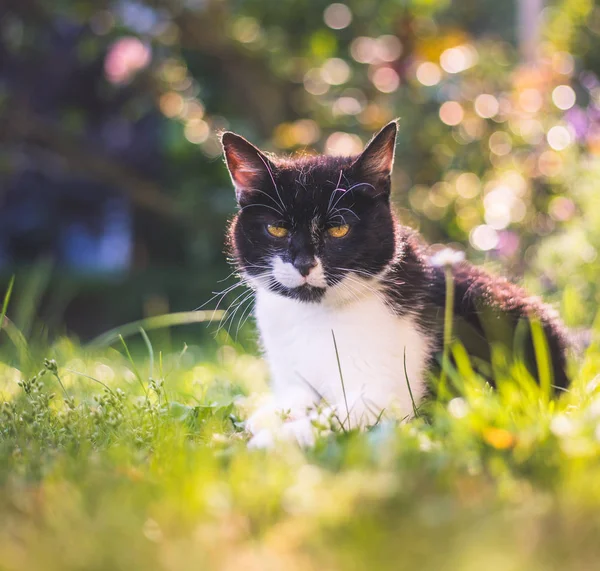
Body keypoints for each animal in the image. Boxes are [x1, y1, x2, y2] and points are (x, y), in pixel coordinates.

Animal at [219, 122, 568, 446]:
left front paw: (272, 439)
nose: (304, 263)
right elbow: (296, 399)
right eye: (277, 229)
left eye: (338, 229)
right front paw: (265, 418)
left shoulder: (390, 397)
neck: (315, 314)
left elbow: (333, 417)